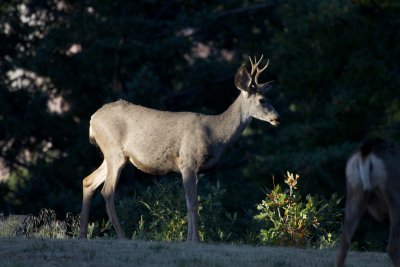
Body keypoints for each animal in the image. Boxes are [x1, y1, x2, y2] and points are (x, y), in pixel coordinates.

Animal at [78, 55, 278, 242]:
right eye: (262, 100)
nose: (277, 117)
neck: (215, 134)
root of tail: (92, 119)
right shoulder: (188, 161)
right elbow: (193, 204)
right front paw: (195, 241)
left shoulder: (194, 169)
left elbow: (191, 203)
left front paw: (189, 239)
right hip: (114, 151)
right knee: (107, 191)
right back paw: (121, 237)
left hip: (114, 155)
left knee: (88, 181)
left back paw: (82, 235)